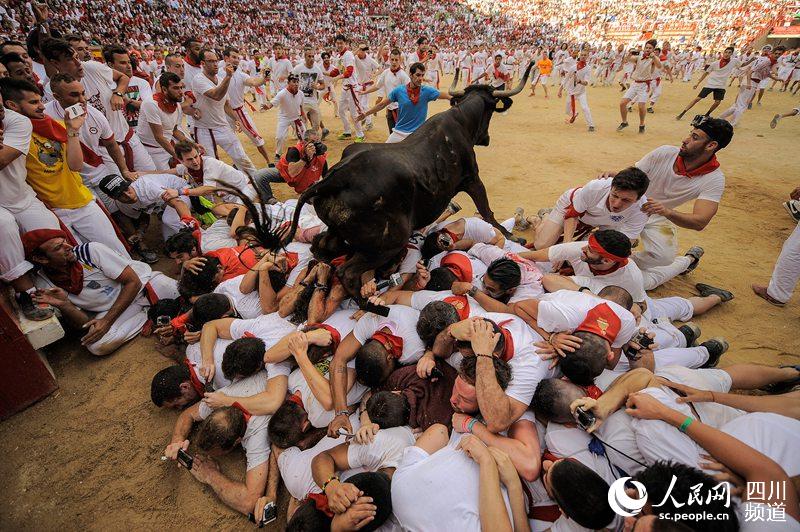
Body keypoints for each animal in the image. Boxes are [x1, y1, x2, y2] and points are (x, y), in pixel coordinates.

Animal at [264, 63, 537, 296]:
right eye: (491, 109)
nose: (486, 138)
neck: (460, 120)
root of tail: (333, 179)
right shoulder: (472, 179)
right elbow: (487, 211)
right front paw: (513, 236)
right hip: (388, 243)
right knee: (347, 271)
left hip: (336, 231)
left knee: (321, 246)